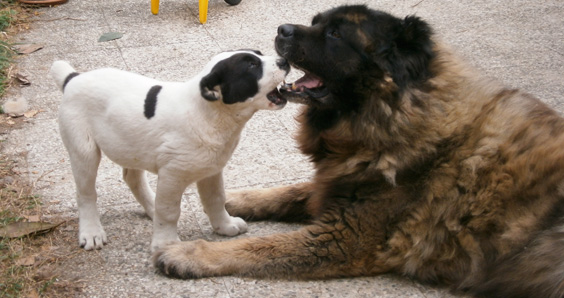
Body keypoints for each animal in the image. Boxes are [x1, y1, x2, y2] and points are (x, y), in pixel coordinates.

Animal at [51, 50, 290, 250]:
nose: (284, 61)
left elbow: (216, 198)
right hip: (84, 150)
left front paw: (224, 225)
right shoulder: (172, 175)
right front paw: (166, 244)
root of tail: (74, 78)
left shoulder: (211, 170)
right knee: (86, 193)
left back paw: (150, 208)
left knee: (132, 178)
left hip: (131, 145)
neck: (209, 114)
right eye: (251, 65)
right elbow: (168, 211)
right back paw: (91, 232)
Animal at [154, 4, 564, 298]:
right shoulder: (339, 182)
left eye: (336, 34)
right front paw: (240, 199)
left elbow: (261, 247)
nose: (282, 29)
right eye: (317, 21)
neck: (393, 115)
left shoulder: (344, 238)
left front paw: (189, 254)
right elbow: (295, 191)